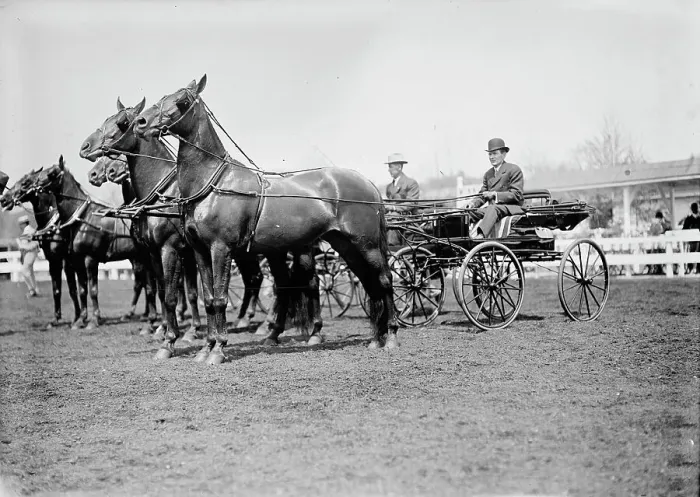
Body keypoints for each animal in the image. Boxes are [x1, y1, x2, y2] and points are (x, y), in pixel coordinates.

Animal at [1, 172, 81, 328]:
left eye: (25, 183)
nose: (4, 199)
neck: (55, 225)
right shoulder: (52, 260)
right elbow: (56, 289)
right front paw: (56, 319)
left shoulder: (66, 260)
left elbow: (72, 289)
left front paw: (77, 318)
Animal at [15, 156, 157, 330]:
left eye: (52, 173)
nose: (36, 188)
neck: (80, 219)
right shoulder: (75, 261)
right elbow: (81, 290)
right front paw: (80, 320)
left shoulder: (89, 259)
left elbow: (92, 290)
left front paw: (94, 319)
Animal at [79, 97, 269, 351]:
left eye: (122, 123)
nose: (85, 148)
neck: (162, 194)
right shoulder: (154, 252)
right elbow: (163, 293)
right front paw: (164, 330)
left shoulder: (175, 249)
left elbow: (184, 294)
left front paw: (185, 333)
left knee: (258, 279)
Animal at [133, 75, 397, 364]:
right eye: (163, 96)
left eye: (181, 101)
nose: (141, 123)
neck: (213, 184)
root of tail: (369, 183)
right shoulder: (200, 251)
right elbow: (209, 298)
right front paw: (206, 348)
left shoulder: (220, 249)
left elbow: (220, 298)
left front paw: (218, 349)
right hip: (345, 245)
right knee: (369, 283)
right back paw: (375, 339)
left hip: (367, 245)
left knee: (384, 280)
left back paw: (391, 336)